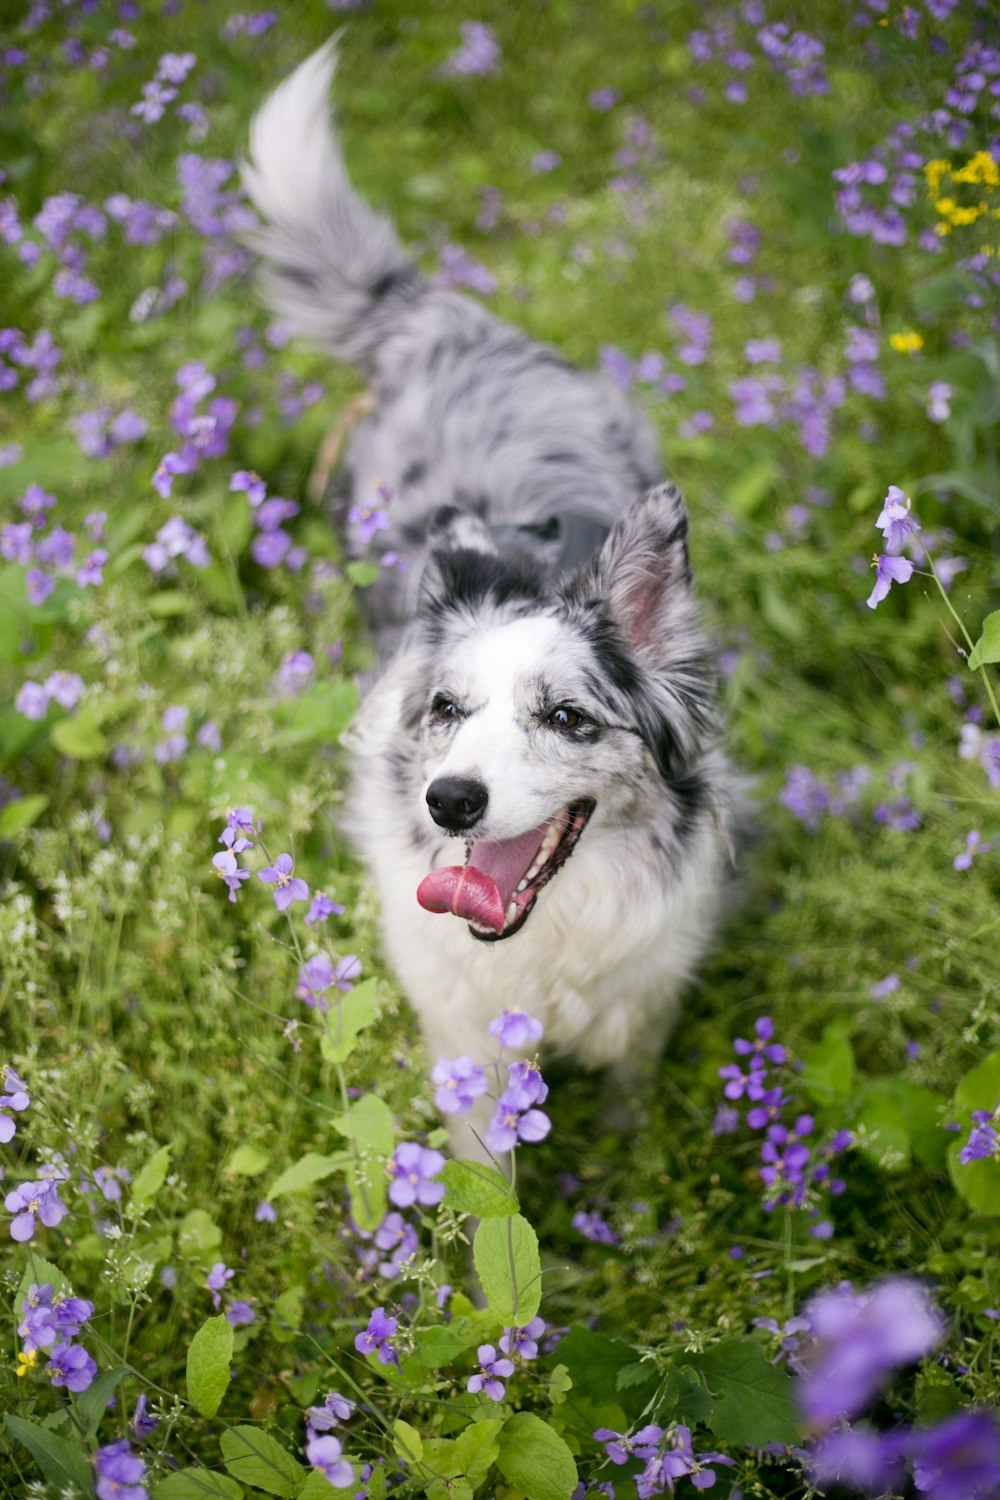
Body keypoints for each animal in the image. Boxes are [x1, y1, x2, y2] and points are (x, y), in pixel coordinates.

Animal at [242, 43, 743, 1146]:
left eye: (567, 717)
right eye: (445, 709)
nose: (451, 800)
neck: (544, 940)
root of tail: (448, 321)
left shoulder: (642, 1003)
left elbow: (629, 1110)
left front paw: (634, 1177)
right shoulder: (466, 1041)